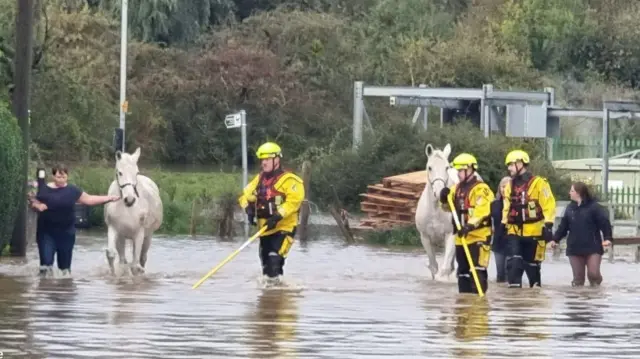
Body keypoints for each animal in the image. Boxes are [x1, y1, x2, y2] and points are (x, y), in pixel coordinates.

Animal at [104, 148, 164, 278]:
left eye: (136, 172)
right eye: (119, 172)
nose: (130, 199)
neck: (127, 208)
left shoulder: (139, 234)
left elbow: (135, 266)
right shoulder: (114, 229)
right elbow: (111, 255)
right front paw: (113, 275)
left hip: (148, 236)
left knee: (142, 258)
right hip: (122, 237)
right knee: (123, 260)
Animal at [416, 143, 460, 282]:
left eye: (446, 167)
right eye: (429, 167)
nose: (440, 193)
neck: (435, 210)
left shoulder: (450, 235)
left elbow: (444, 268)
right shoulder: (425, 237)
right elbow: (434, 267)